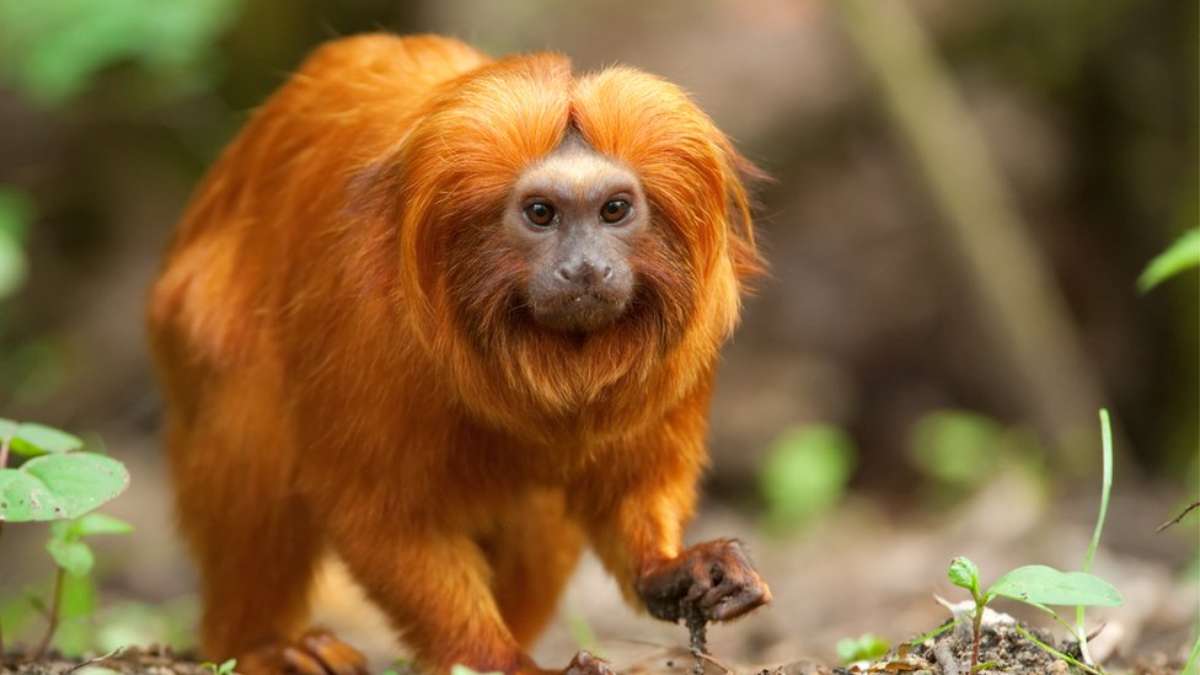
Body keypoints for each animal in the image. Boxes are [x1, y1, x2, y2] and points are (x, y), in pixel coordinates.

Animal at [147, 32, 768, 672]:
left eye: (614, 210)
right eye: (541, 213)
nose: (585, 268)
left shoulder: (683, 348)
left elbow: (632, 483)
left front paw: (671, 569)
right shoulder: (368, 324)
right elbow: (381, 514)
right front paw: (503, 660)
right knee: (254, 429)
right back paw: (262, 644)